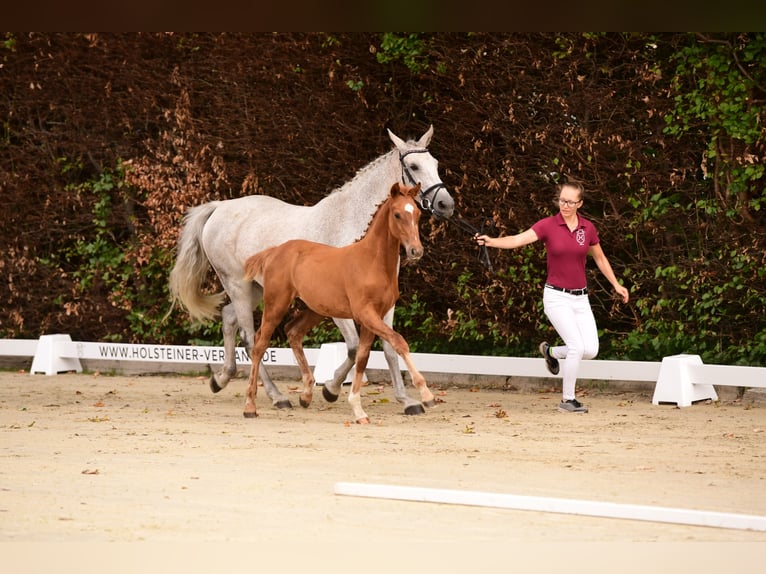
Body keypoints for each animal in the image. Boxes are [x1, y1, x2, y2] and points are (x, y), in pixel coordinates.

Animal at [242, 182, 429, 423]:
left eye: (417, 213)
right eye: (397, 214)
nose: (416, 251)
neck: (372, 262)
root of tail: (275, 251)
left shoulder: (373, 317)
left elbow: (362, 357)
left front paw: (357, 410)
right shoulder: (366, 314)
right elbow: (398, 342)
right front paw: (426, 394)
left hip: (314, 309)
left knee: (293, 331)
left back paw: (306, 395)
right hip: (276, 305)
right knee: (259, 345)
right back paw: (251, 406)